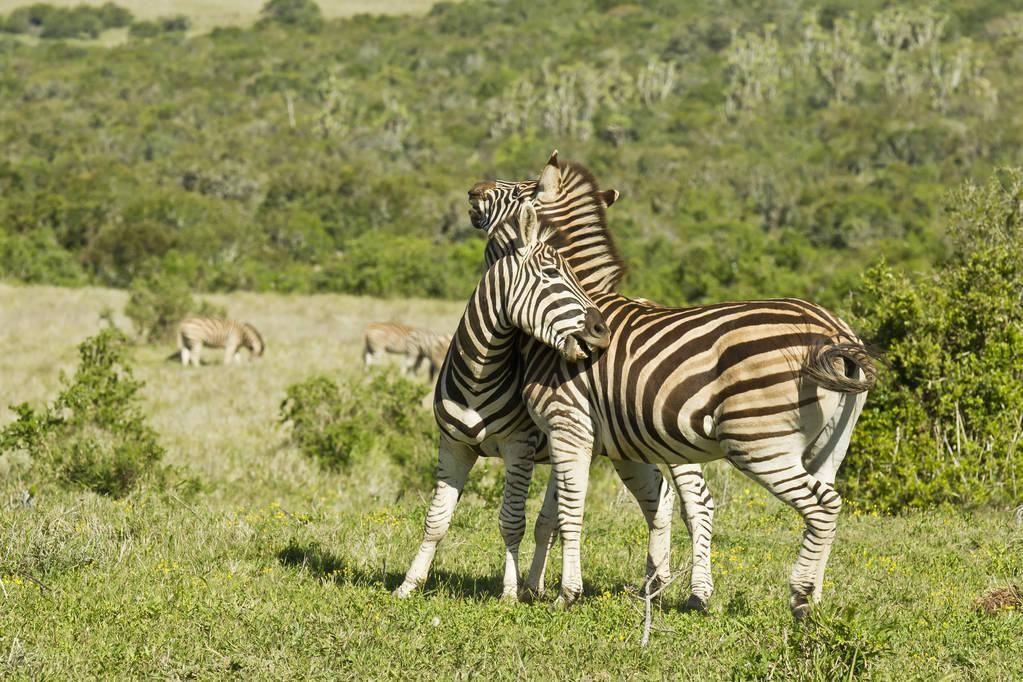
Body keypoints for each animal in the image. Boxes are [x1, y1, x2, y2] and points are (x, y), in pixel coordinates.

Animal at [394, 157, 683, 601]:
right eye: (550, 274)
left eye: (520, 187)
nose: (601, 332)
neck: (478, 373)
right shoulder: (454, 445)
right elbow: (437, 519)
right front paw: (409, 584)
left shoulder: (520, 447)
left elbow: (512, 520)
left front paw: (510, 592)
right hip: (626, 450)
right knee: (658, 499)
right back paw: (652, 583)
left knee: (694, 500)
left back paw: (695, 590)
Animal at [462, 150, 712, 609]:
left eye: (521, 188)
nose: (474, 190)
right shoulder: (567, 434)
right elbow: (551, 515)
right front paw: (536, 584)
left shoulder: (563, 424)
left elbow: (559, 513)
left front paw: (551, 588)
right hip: (633, 448)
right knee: (664, 499)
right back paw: (655, 583)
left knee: (697, 501)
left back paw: (698, 593)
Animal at [491, 193, 875, 617]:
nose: (596, 337)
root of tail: (833, 331)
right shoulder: (609, 437)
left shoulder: (568, 422)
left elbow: (570, 510)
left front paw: (563, 594)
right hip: (831, 446)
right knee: (827, 503)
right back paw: (817, 598)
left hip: (758, 442)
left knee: (823, 505)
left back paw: (801, 596)